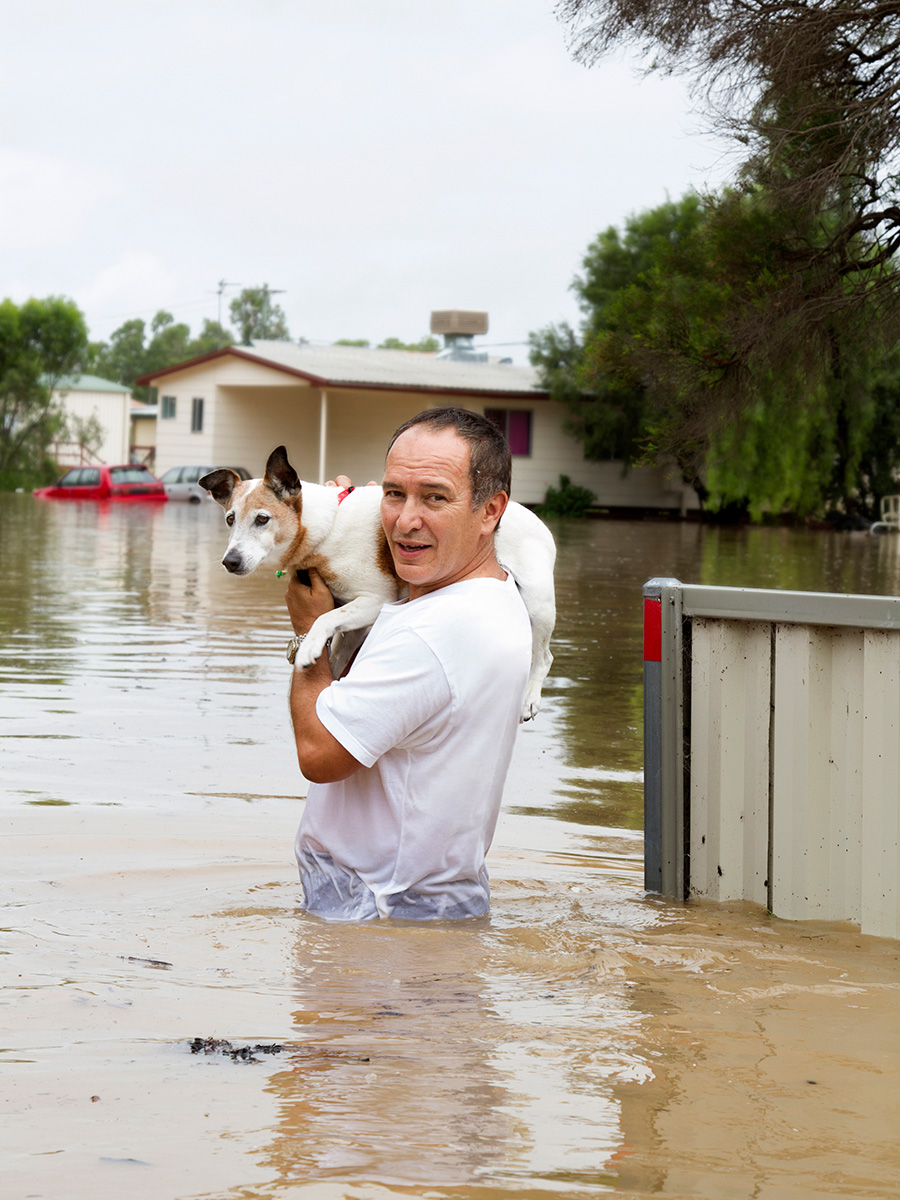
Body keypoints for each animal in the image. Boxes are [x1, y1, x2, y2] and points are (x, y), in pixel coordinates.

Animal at [200, 444, 556, 715]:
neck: (324, 531)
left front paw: (309, 647)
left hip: (538, 607)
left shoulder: (376, 599)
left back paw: (529, 698)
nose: (230, 561)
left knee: (544, 656)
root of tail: (537, 519)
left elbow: (324, 618)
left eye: (262, 519)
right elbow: (335, 654)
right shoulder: (355, 623)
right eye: (230, 519)